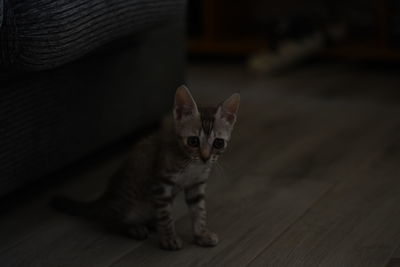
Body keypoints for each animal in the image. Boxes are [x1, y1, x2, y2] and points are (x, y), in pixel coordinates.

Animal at [53, 86, 241, 251]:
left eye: (218, 143)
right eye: (193, 141)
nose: (205, 157)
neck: (192, 165)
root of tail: (106, 195)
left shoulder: (197, 184)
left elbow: (199, 210)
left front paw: (201, 235)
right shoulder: (161, 183)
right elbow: (165, 215)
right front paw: (169, 239)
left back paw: (151, 223)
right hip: (127, 200)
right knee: (108, 218)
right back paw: (133, 228)